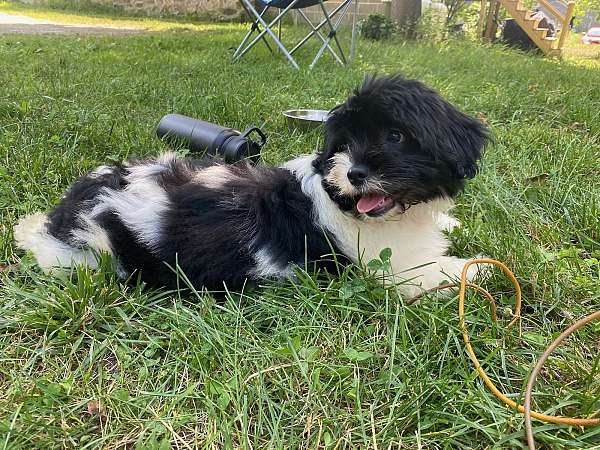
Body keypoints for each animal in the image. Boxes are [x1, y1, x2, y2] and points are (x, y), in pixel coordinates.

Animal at [15, 74, 488, 296]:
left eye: (395, 135)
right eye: (344, 146)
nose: (354, 173)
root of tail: (64, 211)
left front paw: (452, 223)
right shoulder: (396, 270)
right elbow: (447, 271)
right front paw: (481, 267)